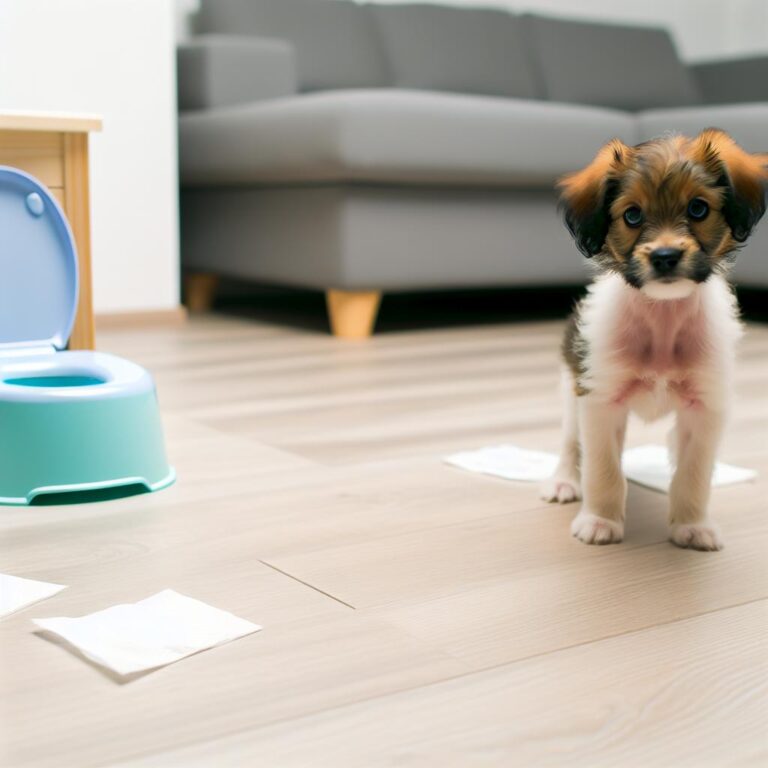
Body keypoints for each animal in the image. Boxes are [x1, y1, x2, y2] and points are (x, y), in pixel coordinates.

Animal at [540, 130, 768, 552]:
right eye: (632, 215)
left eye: (698, 209)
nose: (665, 256)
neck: (663, 320)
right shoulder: (599, 399)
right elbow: (604, 469)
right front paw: (600, 520)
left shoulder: (705, 407)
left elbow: (693, 473)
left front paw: (692, 524)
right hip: (570, 388)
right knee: (570, 444)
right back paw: (563, 482)